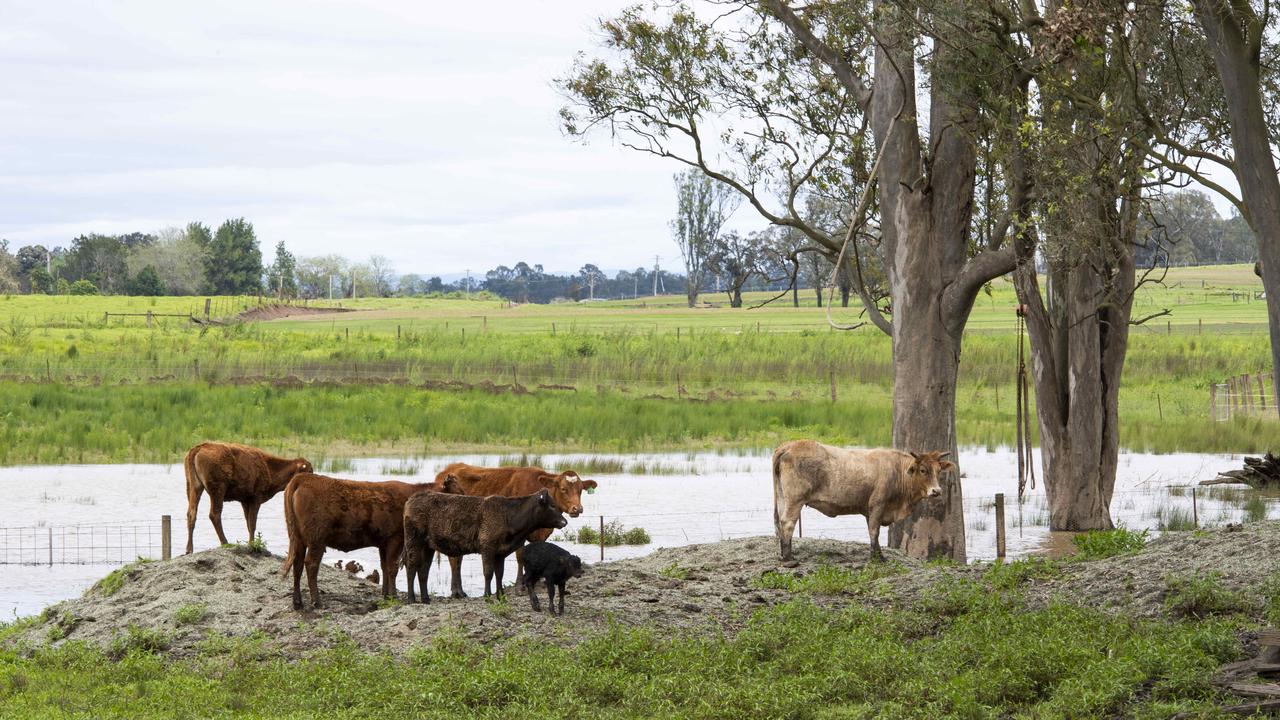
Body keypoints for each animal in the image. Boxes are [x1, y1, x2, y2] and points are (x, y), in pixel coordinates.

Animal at [183, 440, 312, 550]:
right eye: (309, 470)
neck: (269, 468)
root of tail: (198, 448)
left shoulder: (245, 500)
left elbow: (248, 523)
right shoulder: (256, 497)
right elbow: (252, 522)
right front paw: (253, 544)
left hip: (193, 487)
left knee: (191, 513)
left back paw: (189, 549)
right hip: (218, 490)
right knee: (214, 514)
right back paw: (225, 542)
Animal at [280, 474, 460, 607]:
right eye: (457, 491)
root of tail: (303, 477)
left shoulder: (383, 543)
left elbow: (384, 566)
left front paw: (386, 595)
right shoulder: (396, 538)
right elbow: (392, 568)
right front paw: (394, 596)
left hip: (299, 539)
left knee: (297, 565)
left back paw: (297, 602)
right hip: (316, 539)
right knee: (311, 565)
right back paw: (317, 601)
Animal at [432, 458, 596, 594]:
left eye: (580, 490)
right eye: (563, 489)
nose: (577, 509)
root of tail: (447, 470)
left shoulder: (540, 535)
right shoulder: (520, 534)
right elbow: (520, 558)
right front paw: (519, 585)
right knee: (455, 560)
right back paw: (457, 591)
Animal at [768, 440, 952, 563]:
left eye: (939, 470)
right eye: (923, 470)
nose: (937, 491)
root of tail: (789, 445)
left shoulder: (868, 510)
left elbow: (872, 530)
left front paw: (878, 554)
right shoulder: (878, 505)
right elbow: (874, 531)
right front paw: (876, 558)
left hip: (782, 497)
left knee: (779, 522)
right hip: (795, 499)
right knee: (787, 523)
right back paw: (789, 558)